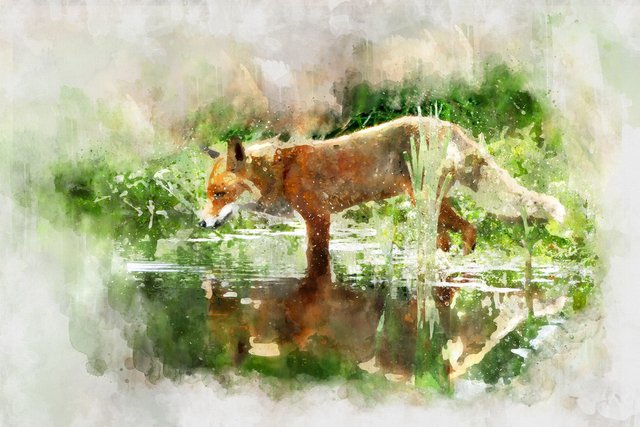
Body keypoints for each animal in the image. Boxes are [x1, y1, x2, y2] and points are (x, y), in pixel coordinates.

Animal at [199, 116, 565, 276]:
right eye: (208, 194)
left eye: (219, 193)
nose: (201, 223)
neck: (281, 174)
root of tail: (447, 125)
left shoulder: (318, 218)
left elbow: (316, 258)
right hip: (430, 205)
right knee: (454, 235)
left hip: (424, 202)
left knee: (469, 229)